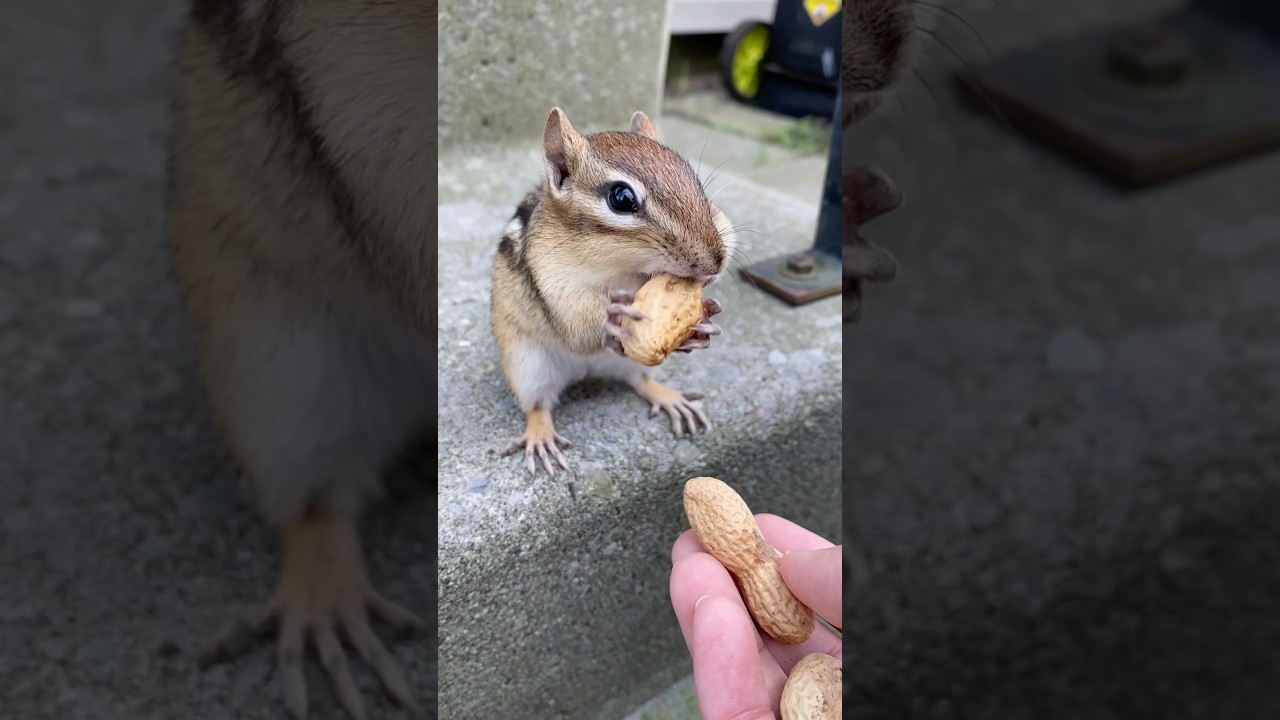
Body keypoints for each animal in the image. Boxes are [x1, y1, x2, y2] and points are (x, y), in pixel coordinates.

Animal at [490, 108, 733, 476]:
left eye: (694, 179)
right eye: (622, 198)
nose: (716, 262)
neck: (623, 271)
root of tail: (586, 372)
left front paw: (706, 323)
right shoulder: (553, 281)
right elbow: (576, 328)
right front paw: (613, 317)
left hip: (633, 364)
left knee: (641, 380)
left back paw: (669, 397)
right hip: (526, 364)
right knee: (538, 405)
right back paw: (540, 436)